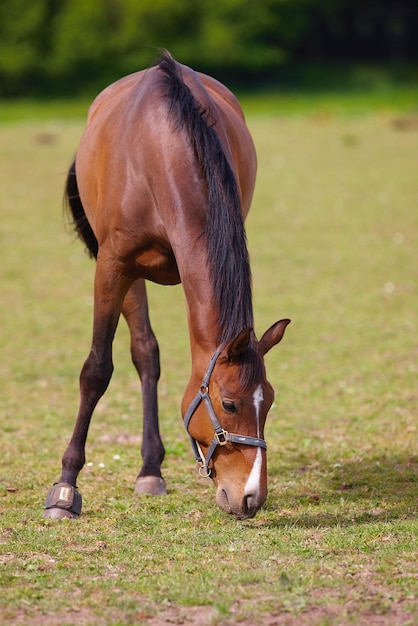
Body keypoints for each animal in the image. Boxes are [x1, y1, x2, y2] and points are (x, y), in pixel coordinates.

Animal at [43, 48, 290, 520]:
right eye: (229, 404)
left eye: (268, 400)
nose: (252, 497)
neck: (162, 149)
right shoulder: (113, 265)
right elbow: (97, 370)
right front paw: (65, 486)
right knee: (143, 352)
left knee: (147, 355)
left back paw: (149, 469)